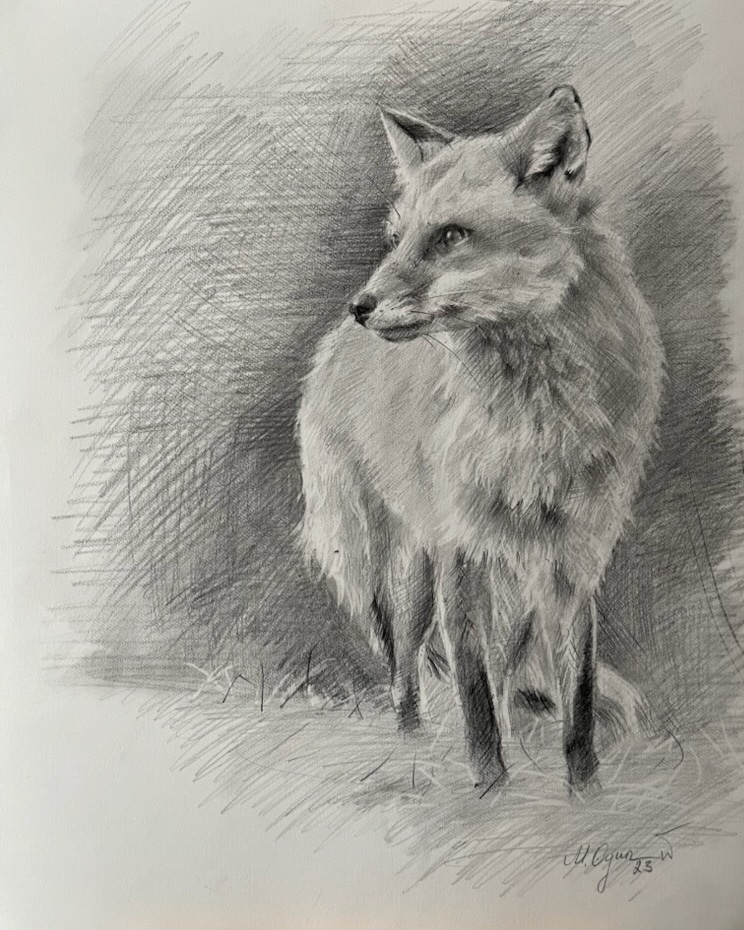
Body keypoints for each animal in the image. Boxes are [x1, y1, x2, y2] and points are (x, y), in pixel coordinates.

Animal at [297, 86, 664, 791]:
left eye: (451, 236)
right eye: (396, 239)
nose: (362, 305)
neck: (534, 421)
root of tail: (332, 347)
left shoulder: (571, 563)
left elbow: (575, 703)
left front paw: (584, 794)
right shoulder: (460, 554)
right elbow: (473, 699)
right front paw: (490, 791)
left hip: (508, 590)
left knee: (503, 669)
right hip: (403, 573)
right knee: (405, 669)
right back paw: (411, 746)